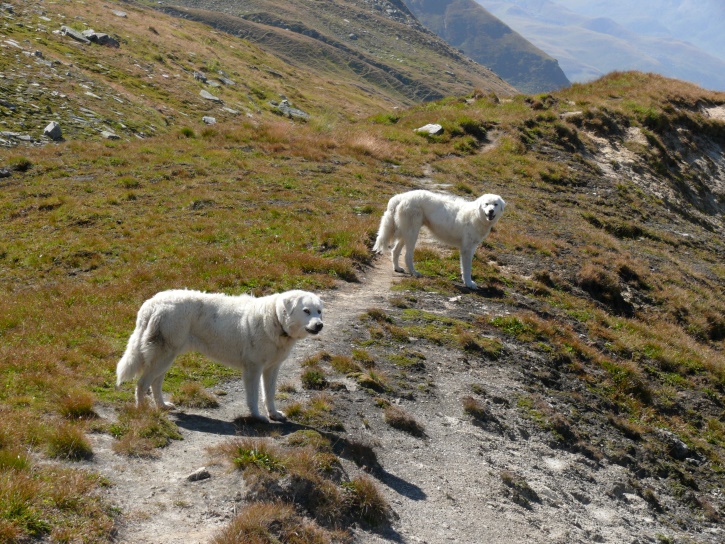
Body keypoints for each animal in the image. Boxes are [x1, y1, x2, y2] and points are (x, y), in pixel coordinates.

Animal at [116, 288, 322, 420]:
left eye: (319, 311)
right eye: (306, 311)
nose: (319, 325)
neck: (276, 320)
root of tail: (151, 303)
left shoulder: (272, 368)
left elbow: (269, 394)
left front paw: (274, 414)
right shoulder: (253, 369)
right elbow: (254, 396)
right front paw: (257, 416)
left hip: (166, 357)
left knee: (155, 383)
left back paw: (163, 406)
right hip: (163, 357)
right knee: (142, 384)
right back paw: (142, 411)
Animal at [374, 189, 504, 288]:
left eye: (495, 204)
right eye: (486, 204)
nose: (491, 211)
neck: (476, 215)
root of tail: (400, 196)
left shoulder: (471, 248)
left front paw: (468, 282)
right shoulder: (466, 249)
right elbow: (467, 268)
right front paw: (468, 283)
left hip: (406, 233)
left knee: (395, 251)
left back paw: (397, 268)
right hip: (412, 233)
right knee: (407, 256)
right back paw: (414, 273)